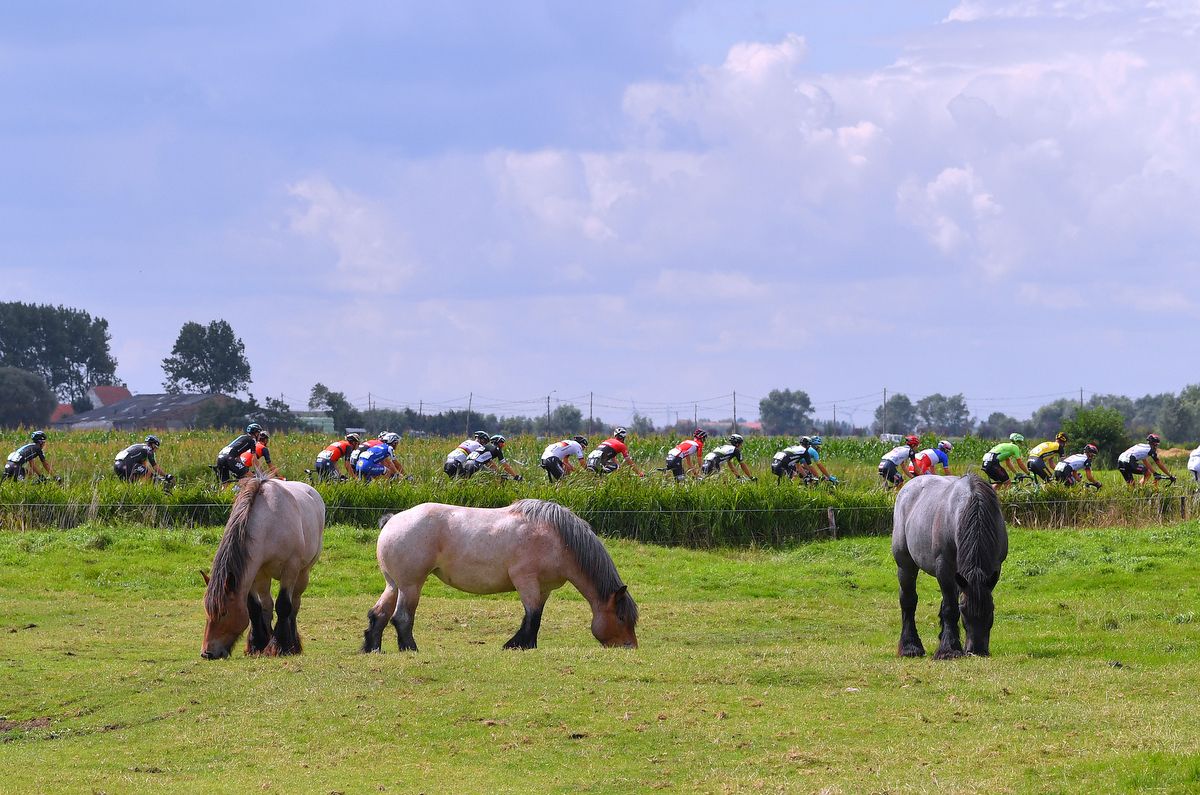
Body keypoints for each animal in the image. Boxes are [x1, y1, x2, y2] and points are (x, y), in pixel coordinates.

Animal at [201, 475, 325, 659]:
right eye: (207, 611)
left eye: (223, 612)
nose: (207, 653)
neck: (268, 524)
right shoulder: (255, 572)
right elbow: (254, 607)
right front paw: (257, 644)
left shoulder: (290, 568)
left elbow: (283, 606)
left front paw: (280, 646)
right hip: (265, 578)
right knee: (267, 604)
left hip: (303, 574)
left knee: (294, 605)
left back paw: (293, 644)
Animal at [362, 498, 638, 652]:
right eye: (621, 617)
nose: (630, 647)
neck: (559, 539)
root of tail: (392, 520)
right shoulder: (525, 580)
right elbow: (532, 616)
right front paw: (516, 645)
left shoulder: (544, 588)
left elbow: (537, 617)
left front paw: (527, 645)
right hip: (411, 585)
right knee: (401, 618)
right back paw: (410, 648)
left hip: (393, 584)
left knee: (379, 614)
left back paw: (372, 649)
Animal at [891, 473, 1008, 659]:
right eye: (964, 610)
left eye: (991, 609)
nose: (977, 651)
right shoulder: (944, 567)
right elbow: (950, 608)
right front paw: (949, 649)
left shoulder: (994, 567)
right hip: (905, 564)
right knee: (908, 600)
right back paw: (910, 647)